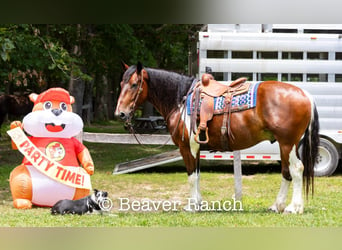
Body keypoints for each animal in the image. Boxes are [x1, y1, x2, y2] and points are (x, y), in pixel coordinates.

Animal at [115, 62, 320, 213]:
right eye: (121, 84)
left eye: (134, 84)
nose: (120, 114)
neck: (180, 99)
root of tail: (305, 94)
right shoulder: (196, 147)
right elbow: (197, 175)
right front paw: (198, 203)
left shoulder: (187, 147)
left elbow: (191, 176)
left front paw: (191, 206)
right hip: (284, 145)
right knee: (286, 172)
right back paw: (276, 206)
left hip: (288, 143)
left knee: (296, 169)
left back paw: (294, 208)